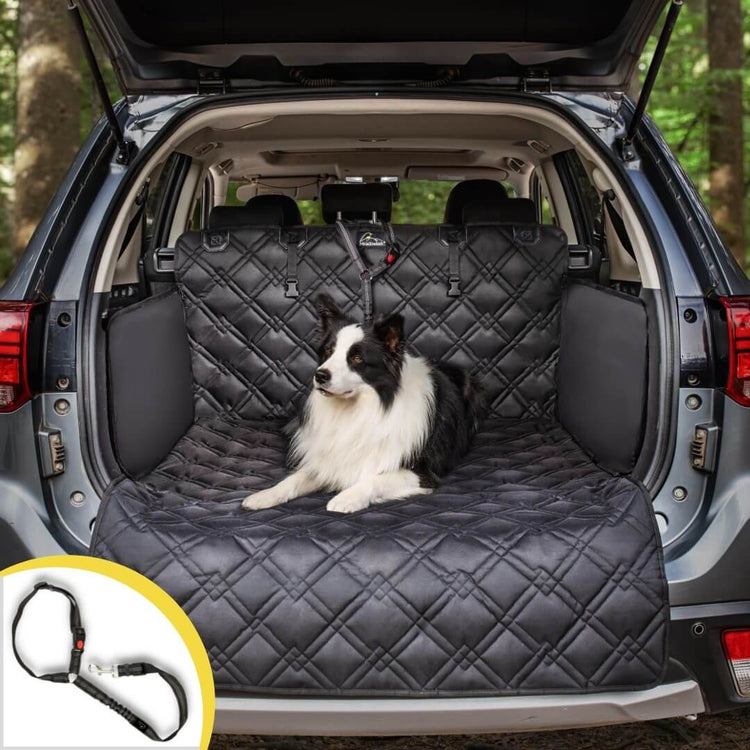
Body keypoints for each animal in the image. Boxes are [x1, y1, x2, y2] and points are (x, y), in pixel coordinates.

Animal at [244, 296, 484, 516]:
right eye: (328, 351)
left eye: (357, 358)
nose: (320, 375)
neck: (356, 409)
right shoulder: (329, 460)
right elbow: (296, 478)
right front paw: (265, 495)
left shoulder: (422, 473)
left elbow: (375, 479)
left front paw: (346, 498)